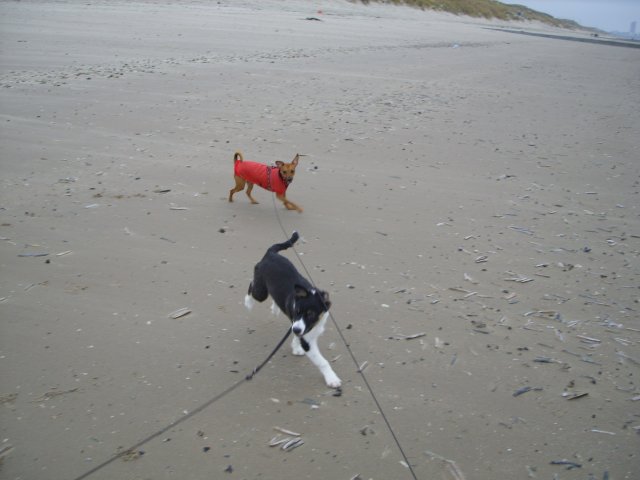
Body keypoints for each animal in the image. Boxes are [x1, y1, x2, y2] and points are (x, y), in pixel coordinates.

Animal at [244, 231, 341, 388]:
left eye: (311, 314)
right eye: (296, 311)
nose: (296, 329)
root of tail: (270, 253)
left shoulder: (300, 328)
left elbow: (296, 335)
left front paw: (295, 347)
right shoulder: (306, 339)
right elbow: (322, 362)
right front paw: (332, 379)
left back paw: (275, 307)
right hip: (260, 292)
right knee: (252, 286)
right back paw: (248, 303)